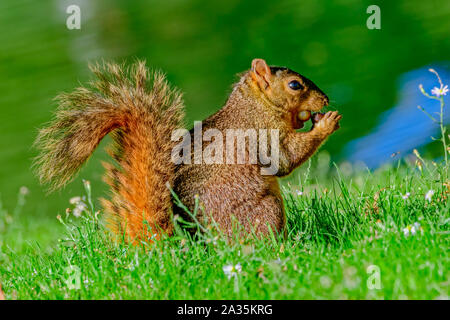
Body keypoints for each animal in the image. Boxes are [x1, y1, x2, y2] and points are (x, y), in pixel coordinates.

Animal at [33, 58, 340, 242]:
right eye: (295, 85)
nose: (325, 99)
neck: (256, 104)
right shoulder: (263, 134)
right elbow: (285, 159)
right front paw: (326, 123)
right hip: (267, 209)